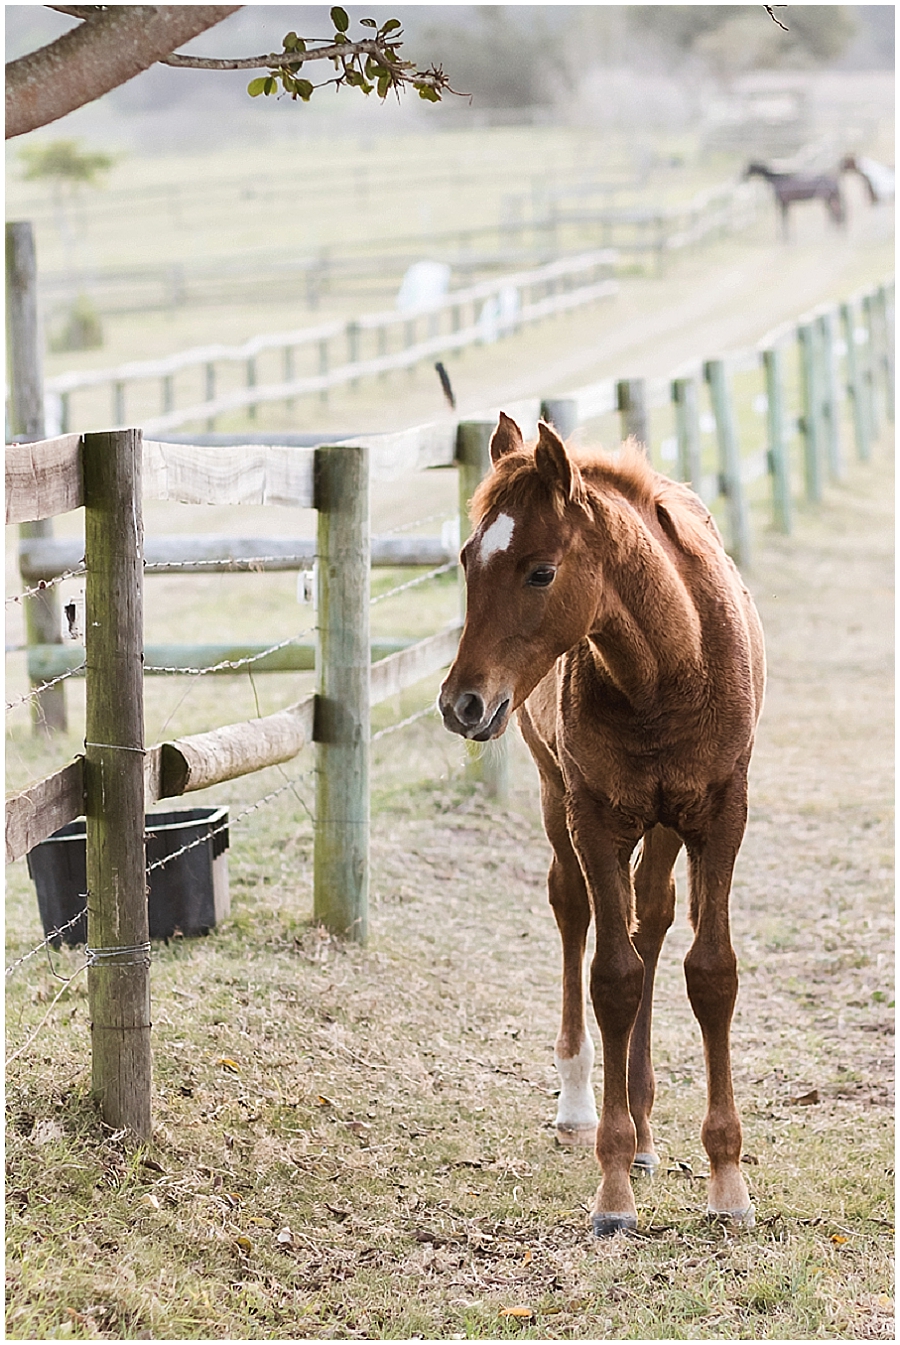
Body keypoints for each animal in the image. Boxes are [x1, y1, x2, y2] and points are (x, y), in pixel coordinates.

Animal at [439, 414, 766, 1237]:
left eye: (540, 572)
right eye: (466, 559)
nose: (461, 703)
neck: (668, 668)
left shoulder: (721, 815)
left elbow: (710, 973)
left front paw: (727, 1181)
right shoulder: (593, 818)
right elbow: (611, 978)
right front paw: (613, 1188)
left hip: (664, 828)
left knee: (651, 920)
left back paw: (646, 1128)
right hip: (559, 800)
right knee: (577, 911)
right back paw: (586, 1104)